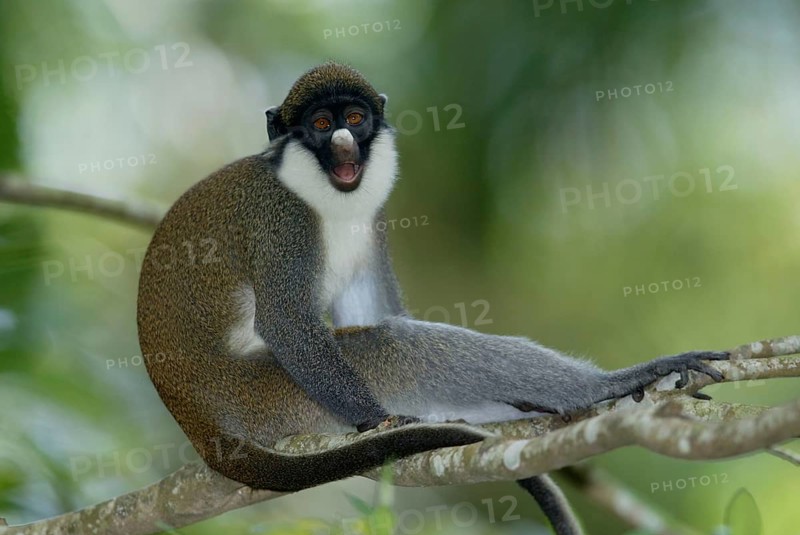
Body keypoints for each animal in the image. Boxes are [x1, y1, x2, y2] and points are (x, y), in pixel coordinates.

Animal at [136, 61, 727, 535]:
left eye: (356, 118)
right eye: (322, 125)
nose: (345, 143)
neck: (322, 192)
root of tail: (196, 416)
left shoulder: (372, 218)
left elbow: (368, 309)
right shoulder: (284, 222)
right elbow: (289, 323)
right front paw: (379, 423)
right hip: (267, 392)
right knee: (395, 346)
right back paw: (603, 388)